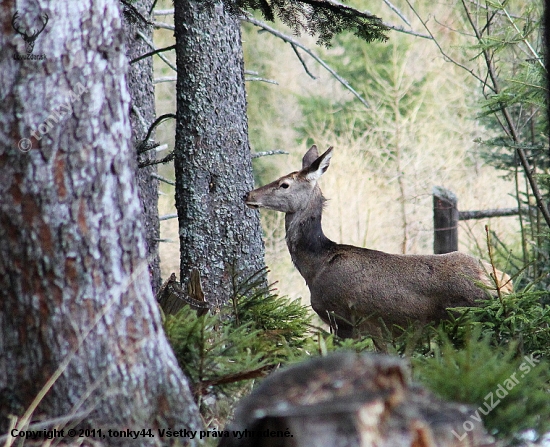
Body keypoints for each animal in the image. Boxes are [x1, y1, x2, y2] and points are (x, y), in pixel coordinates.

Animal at [246, 145, 512, 348]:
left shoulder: (344, 318)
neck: (316, 265)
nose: (248, 194)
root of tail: (504, 284)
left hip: (471, 319)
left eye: (284, 184)